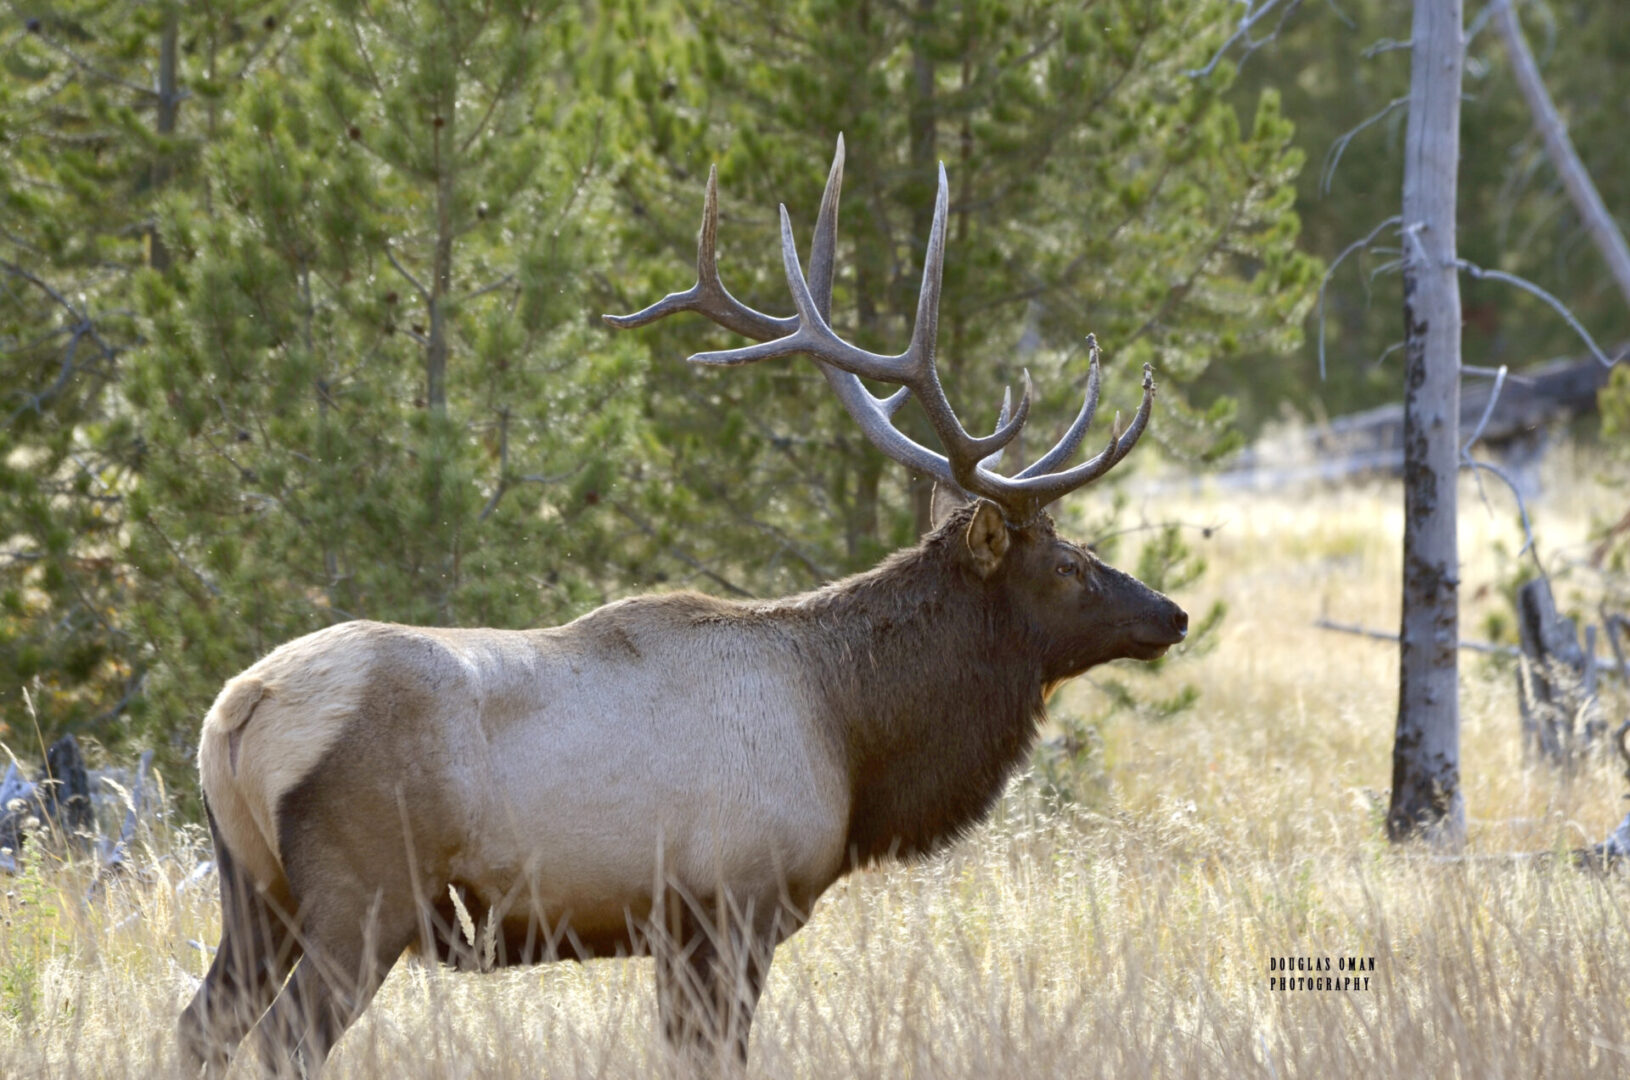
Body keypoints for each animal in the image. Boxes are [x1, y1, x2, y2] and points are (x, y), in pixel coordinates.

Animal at [181, 139, 1186, 1075]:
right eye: (1068, 563)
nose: (1171, 614)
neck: (851, 732)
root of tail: (237, 712)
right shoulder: (735, 907)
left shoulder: (677, 932)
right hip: (362, 898)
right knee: (283, 1042)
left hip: (255, 894)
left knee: (200, 1025)